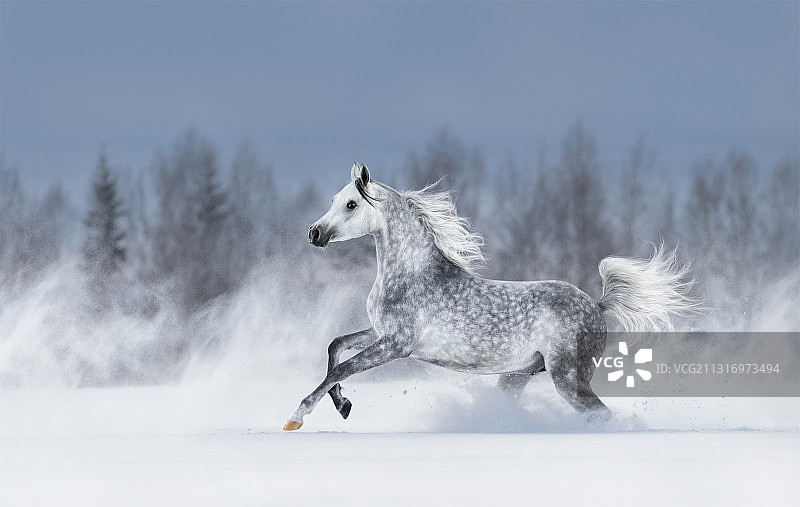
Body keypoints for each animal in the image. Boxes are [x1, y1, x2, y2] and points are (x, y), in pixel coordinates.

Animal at [283, 163, 695, 430]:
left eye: (351, 204)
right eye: (335, 199)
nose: (314, 233)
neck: (411, 274)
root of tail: (597, 304)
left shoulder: (396, 344)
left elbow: (342, 367)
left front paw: (296, 417)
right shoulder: (379, 333)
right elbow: (335, 347)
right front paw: (343, 405)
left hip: (568, 377)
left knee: (599, 413)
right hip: (518, 375)